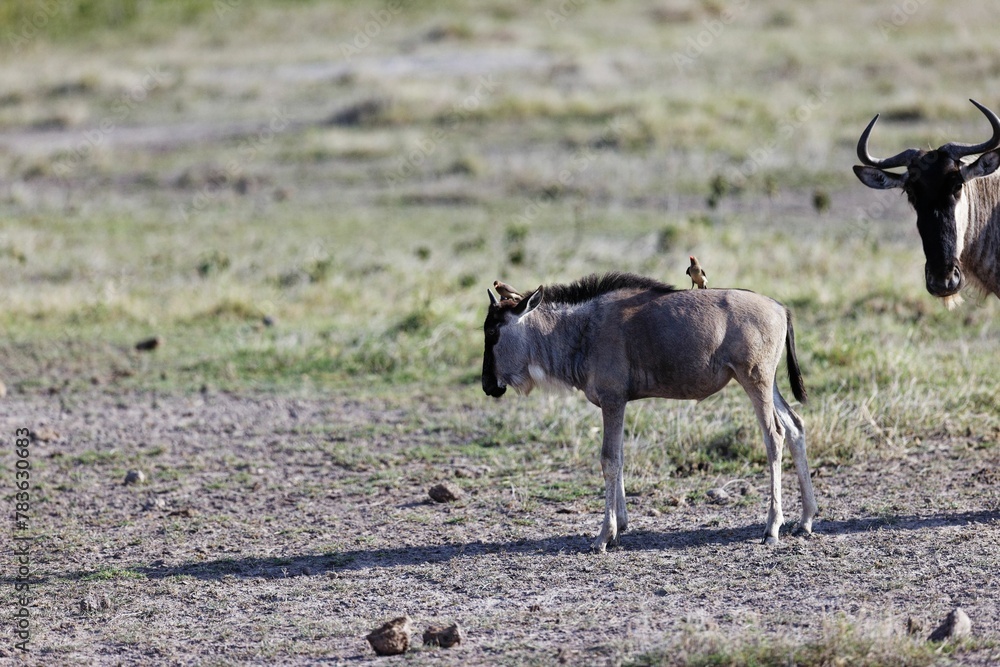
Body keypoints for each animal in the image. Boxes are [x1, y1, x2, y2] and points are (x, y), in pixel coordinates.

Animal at [481, 272, 817, 553]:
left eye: (493, 332)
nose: (487, 386)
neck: (580, 330)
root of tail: (780, 308)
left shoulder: (612, 400)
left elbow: (609, 460)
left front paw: (603, 536)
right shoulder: (618, 404)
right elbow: (619, 456)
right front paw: (621, 526)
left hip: (754, 380)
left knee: (774, 436)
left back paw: (772, 527)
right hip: (769, 384)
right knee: (795, 426)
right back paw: (805, 520)